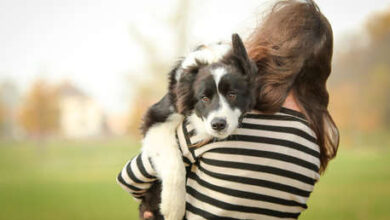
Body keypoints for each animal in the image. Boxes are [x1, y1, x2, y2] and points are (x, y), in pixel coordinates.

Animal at [139, 33, 256, 220]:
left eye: (232, 94)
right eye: (204, 98)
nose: (218, 125)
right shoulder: (156, 118)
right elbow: (173, 162)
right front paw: (173, 207)